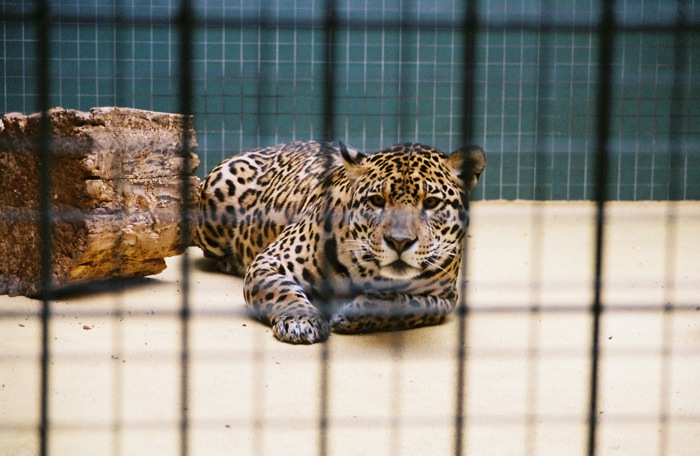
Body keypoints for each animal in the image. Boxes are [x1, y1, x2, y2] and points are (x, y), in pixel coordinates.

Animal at [194, 141, 486, 344]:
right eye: (377, 200)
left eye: (432, 203)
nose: (399, 242)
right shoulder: (269, 261)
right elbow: (279, 291)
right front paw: (300, 320)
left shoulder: (443, 298)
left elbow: (405, 304)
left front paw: (351, 314)